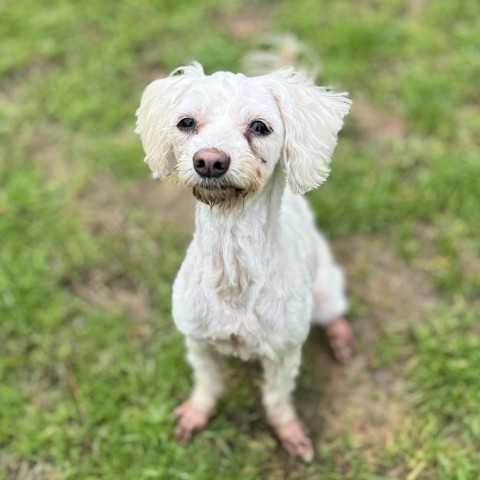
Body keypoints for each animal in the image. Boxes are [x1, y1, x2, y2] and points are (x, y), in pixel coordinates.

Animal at [135, 63, 352, 462]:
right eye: (186, 122)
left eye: (260, 127)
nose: (209, 160)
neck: (233, 273)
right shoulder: (198, 341)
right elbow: (207, 384)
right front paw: (196, 413)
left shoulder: (283, 355)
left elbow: (277, 399)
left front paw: (290, 432)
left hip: (326, 291)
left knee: (335, 314)